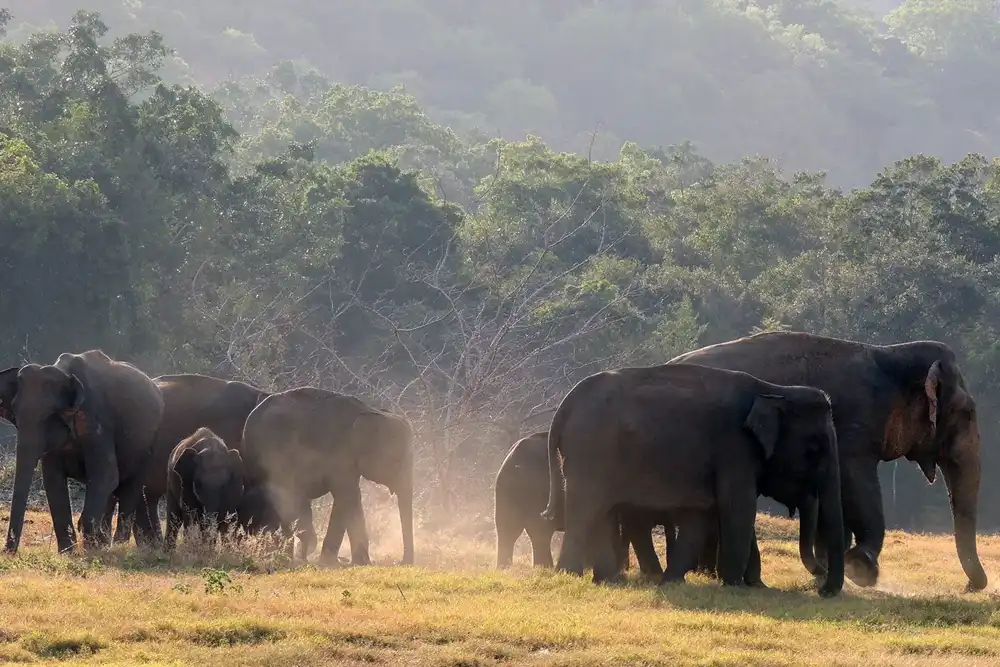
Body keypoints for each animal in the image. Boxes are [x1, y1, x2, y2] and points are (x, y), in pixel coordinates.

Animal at [0, 350, 164, 553]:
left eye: (49, 416)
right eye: (15, 412)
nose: (8, 552)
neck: (63, 372)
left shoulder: (97, 420)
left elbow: (106, 475)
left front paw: (91, 549)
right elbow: (53, 480)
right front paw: (68, 552)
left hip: (149, 443)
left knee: (130, 486)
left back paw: (118, 544)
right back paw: (105, 540)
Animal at [241, 387, 414, 566]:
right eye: (397, 460)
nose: (401, 563)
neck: (370, 411)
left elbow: (343, 499)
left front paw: (330, 562)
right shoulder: (341, 454)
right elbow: (348, 495)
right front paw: (362, 563)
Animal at [494, 431, 674, 574]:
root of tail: (512, 457)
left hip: (507, 492)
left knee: (509, 529)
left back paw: (507, 568)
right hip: (534, 491)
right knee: (538, 531)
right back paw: (542, 568)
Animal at [542, 362, 845, 597]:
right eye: (815, 448)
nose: (823, 590)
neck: (774, 390)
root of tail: (565, 405)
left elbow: (700, 515)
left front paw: (674, 581)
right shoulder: (734, 447)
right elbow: (739, 506)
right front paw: (736, 586)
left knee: (603, 511)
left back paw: (609, 580)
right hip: (591, 451)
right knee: (585, 509)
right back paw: (569, 574)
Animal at [668, 331, 988, 592]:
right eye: (967, 413)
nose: (970, 587)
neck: (889, 354)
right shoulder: (854, 430)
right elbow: (858, 486)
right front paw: (862, 568)